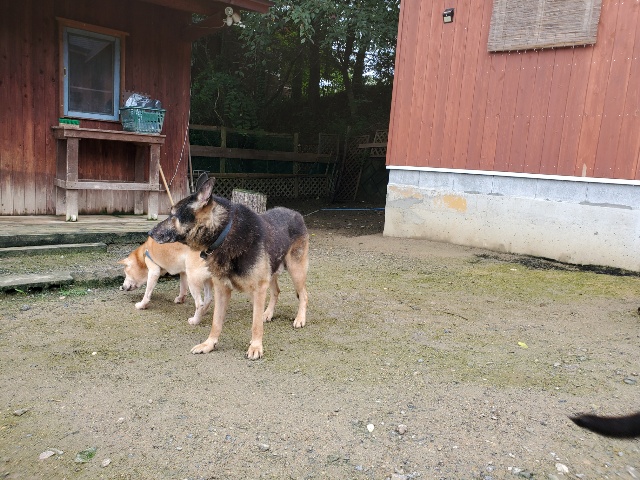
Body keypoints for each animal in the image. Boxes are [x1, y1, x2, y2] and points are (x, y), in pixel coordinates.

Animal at [148, 177, 309, 359]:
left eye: (173, 215)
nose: (150, 232)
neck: (224, 234)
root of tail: (296, 213)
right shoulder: (221, 290)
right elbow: (216, 322)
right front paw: (209, 344)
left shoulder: (259, 289)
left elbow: (255, 324)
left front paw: (255, 346)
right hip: (272, 271)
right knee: (276, 291)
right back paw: (268, 313)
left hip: (296, 270)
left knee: (304, 294)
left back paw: (300, 319)